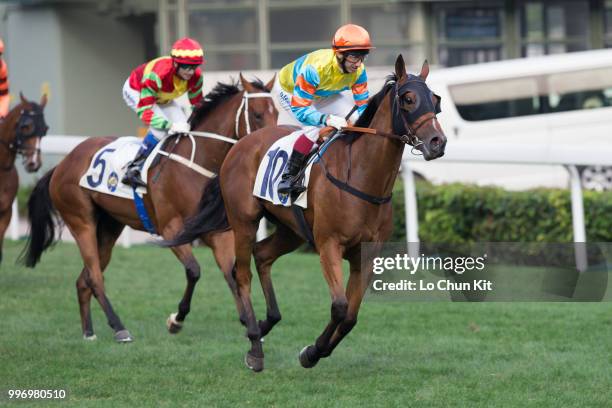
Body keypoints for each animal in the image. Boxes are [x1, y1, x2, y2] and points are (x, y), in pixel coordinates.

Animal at [20, 75, 276, 342]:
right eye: (257, 114)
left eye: (277, 112)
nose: (269, 142)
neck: (197, 163)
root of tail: (62, 164)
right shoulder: (171, 229)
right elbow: (194, 271)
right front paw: (176, 320)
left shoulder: (217, 233)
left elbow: (231, 273)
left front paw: (249, 324)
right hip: (81, 222)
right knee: (95, 276)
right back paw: (119, 327)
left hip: (109, 227)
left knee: (85, 279)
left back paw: (88, 331)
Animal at [165, 55, 448, 372]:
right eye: (408, 99)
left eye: (435, 99)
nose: (437, 142)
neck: (362, 178)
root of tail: (239, 144)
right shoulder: (328, 245)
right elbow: (340, 308)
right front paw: (311, 352)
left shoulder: (367, 254)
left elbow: (350, 317)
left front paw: (314, 350)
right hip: (243, 221)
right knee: (241, 274)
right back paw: (254, 345)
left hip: (292, 230)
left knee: (263, 255)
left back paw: (264, 324)